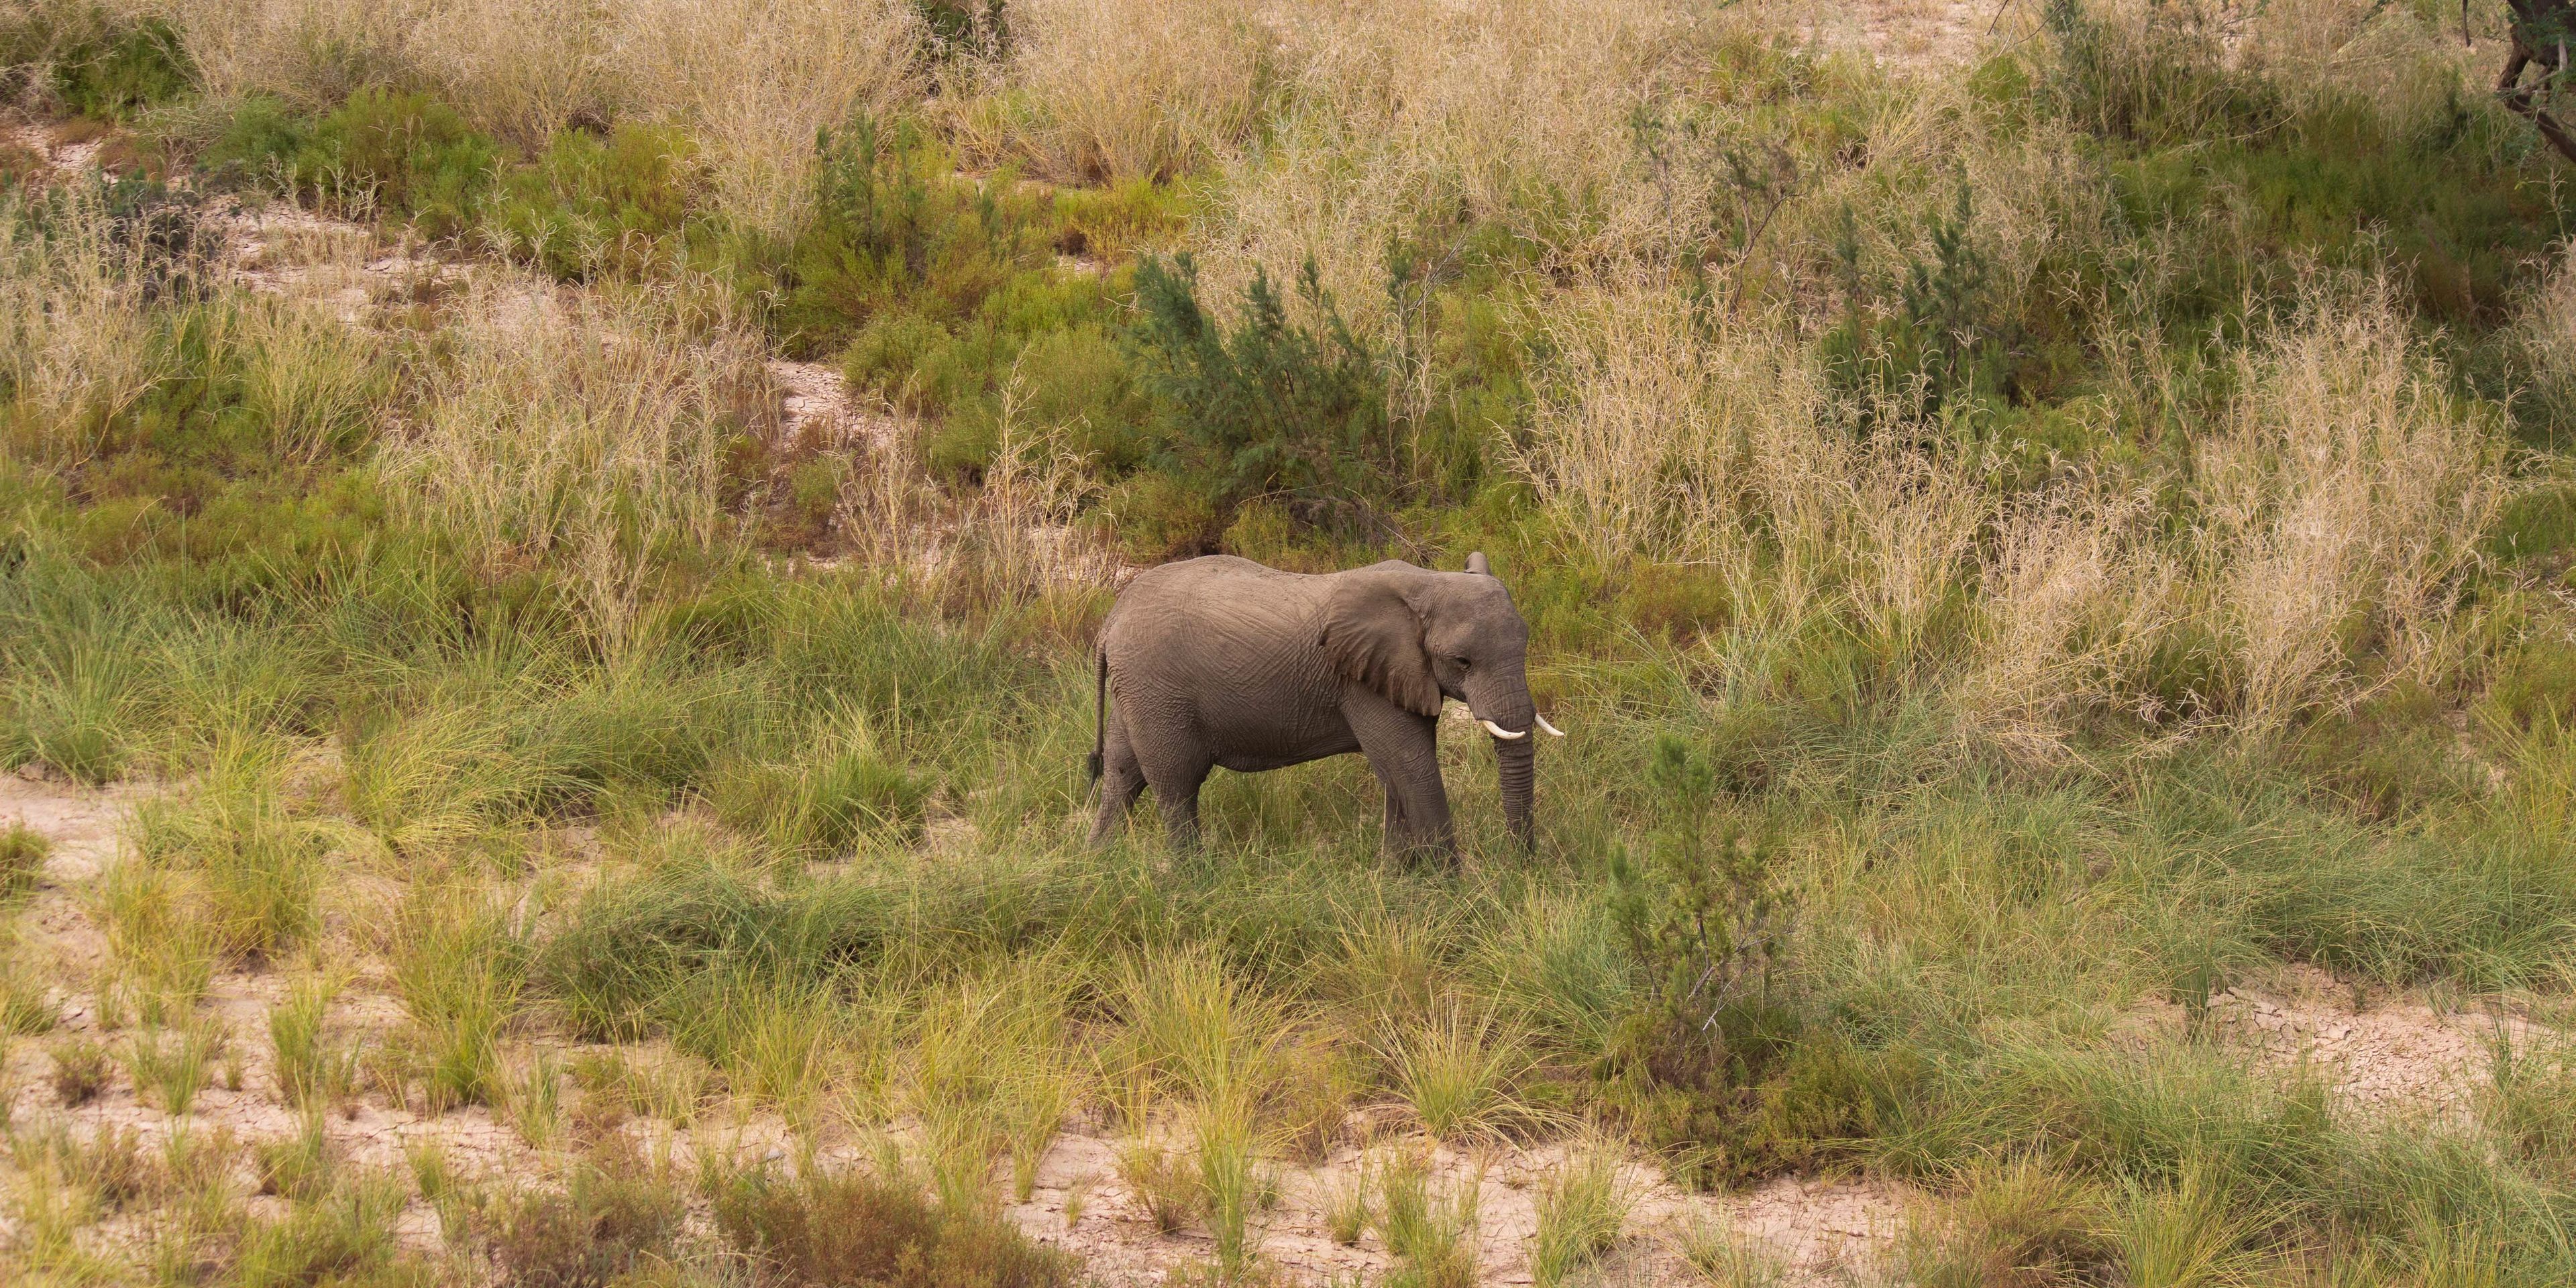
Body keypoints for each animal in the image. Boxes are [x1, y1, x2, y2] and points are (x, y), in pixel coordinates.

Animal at [1086, 550, 1561, 858]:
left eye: (1524, 644)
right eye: (1462, 662)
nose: (1520, 868)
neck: (1426, 582)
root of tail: (1111, 619)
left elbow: (1397, 773)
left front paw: (1398, 882)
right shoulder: (1364, 680)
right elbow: (1413, 766)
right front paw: (1452, 894)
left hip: (1138, 690)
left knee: (1123, 772)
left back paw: (1098, 864)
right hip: (1158, 690)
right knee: (1177, 784)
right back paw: (1193, 881)